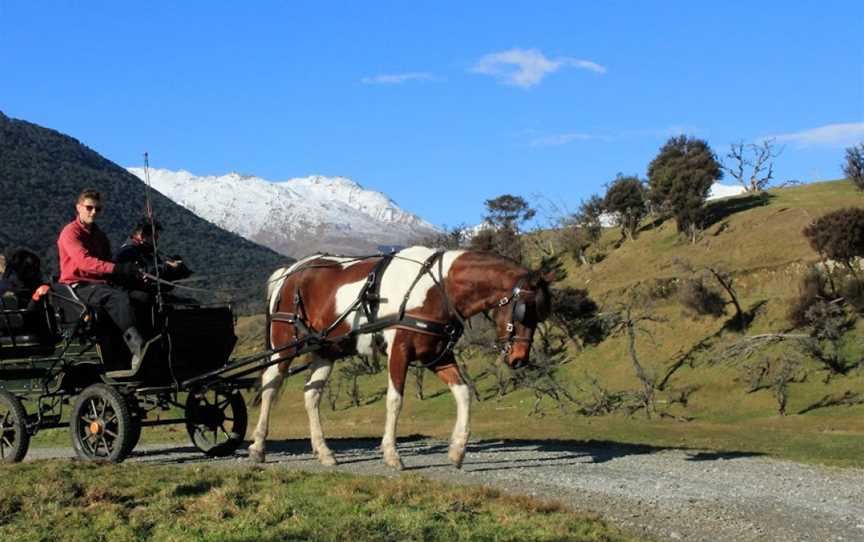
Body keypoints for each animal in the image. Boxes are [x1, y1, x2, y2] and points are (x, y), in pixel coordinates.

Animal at [246, 248, 552, 472]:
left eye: (540, 314)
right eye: (524, 312)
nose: (519, 359)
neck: (436, 287)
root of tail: (289, 272)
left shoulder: (437, 355)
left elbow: (464, 392)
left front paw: (457, 450)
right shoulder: (400, 351)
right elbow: (395, 400)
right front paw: (392, 454)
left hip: (325, 349)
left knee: (312, 395)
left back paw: (324, 452)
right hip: (284, 345)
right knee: (270, 385)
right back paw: (258, 447)